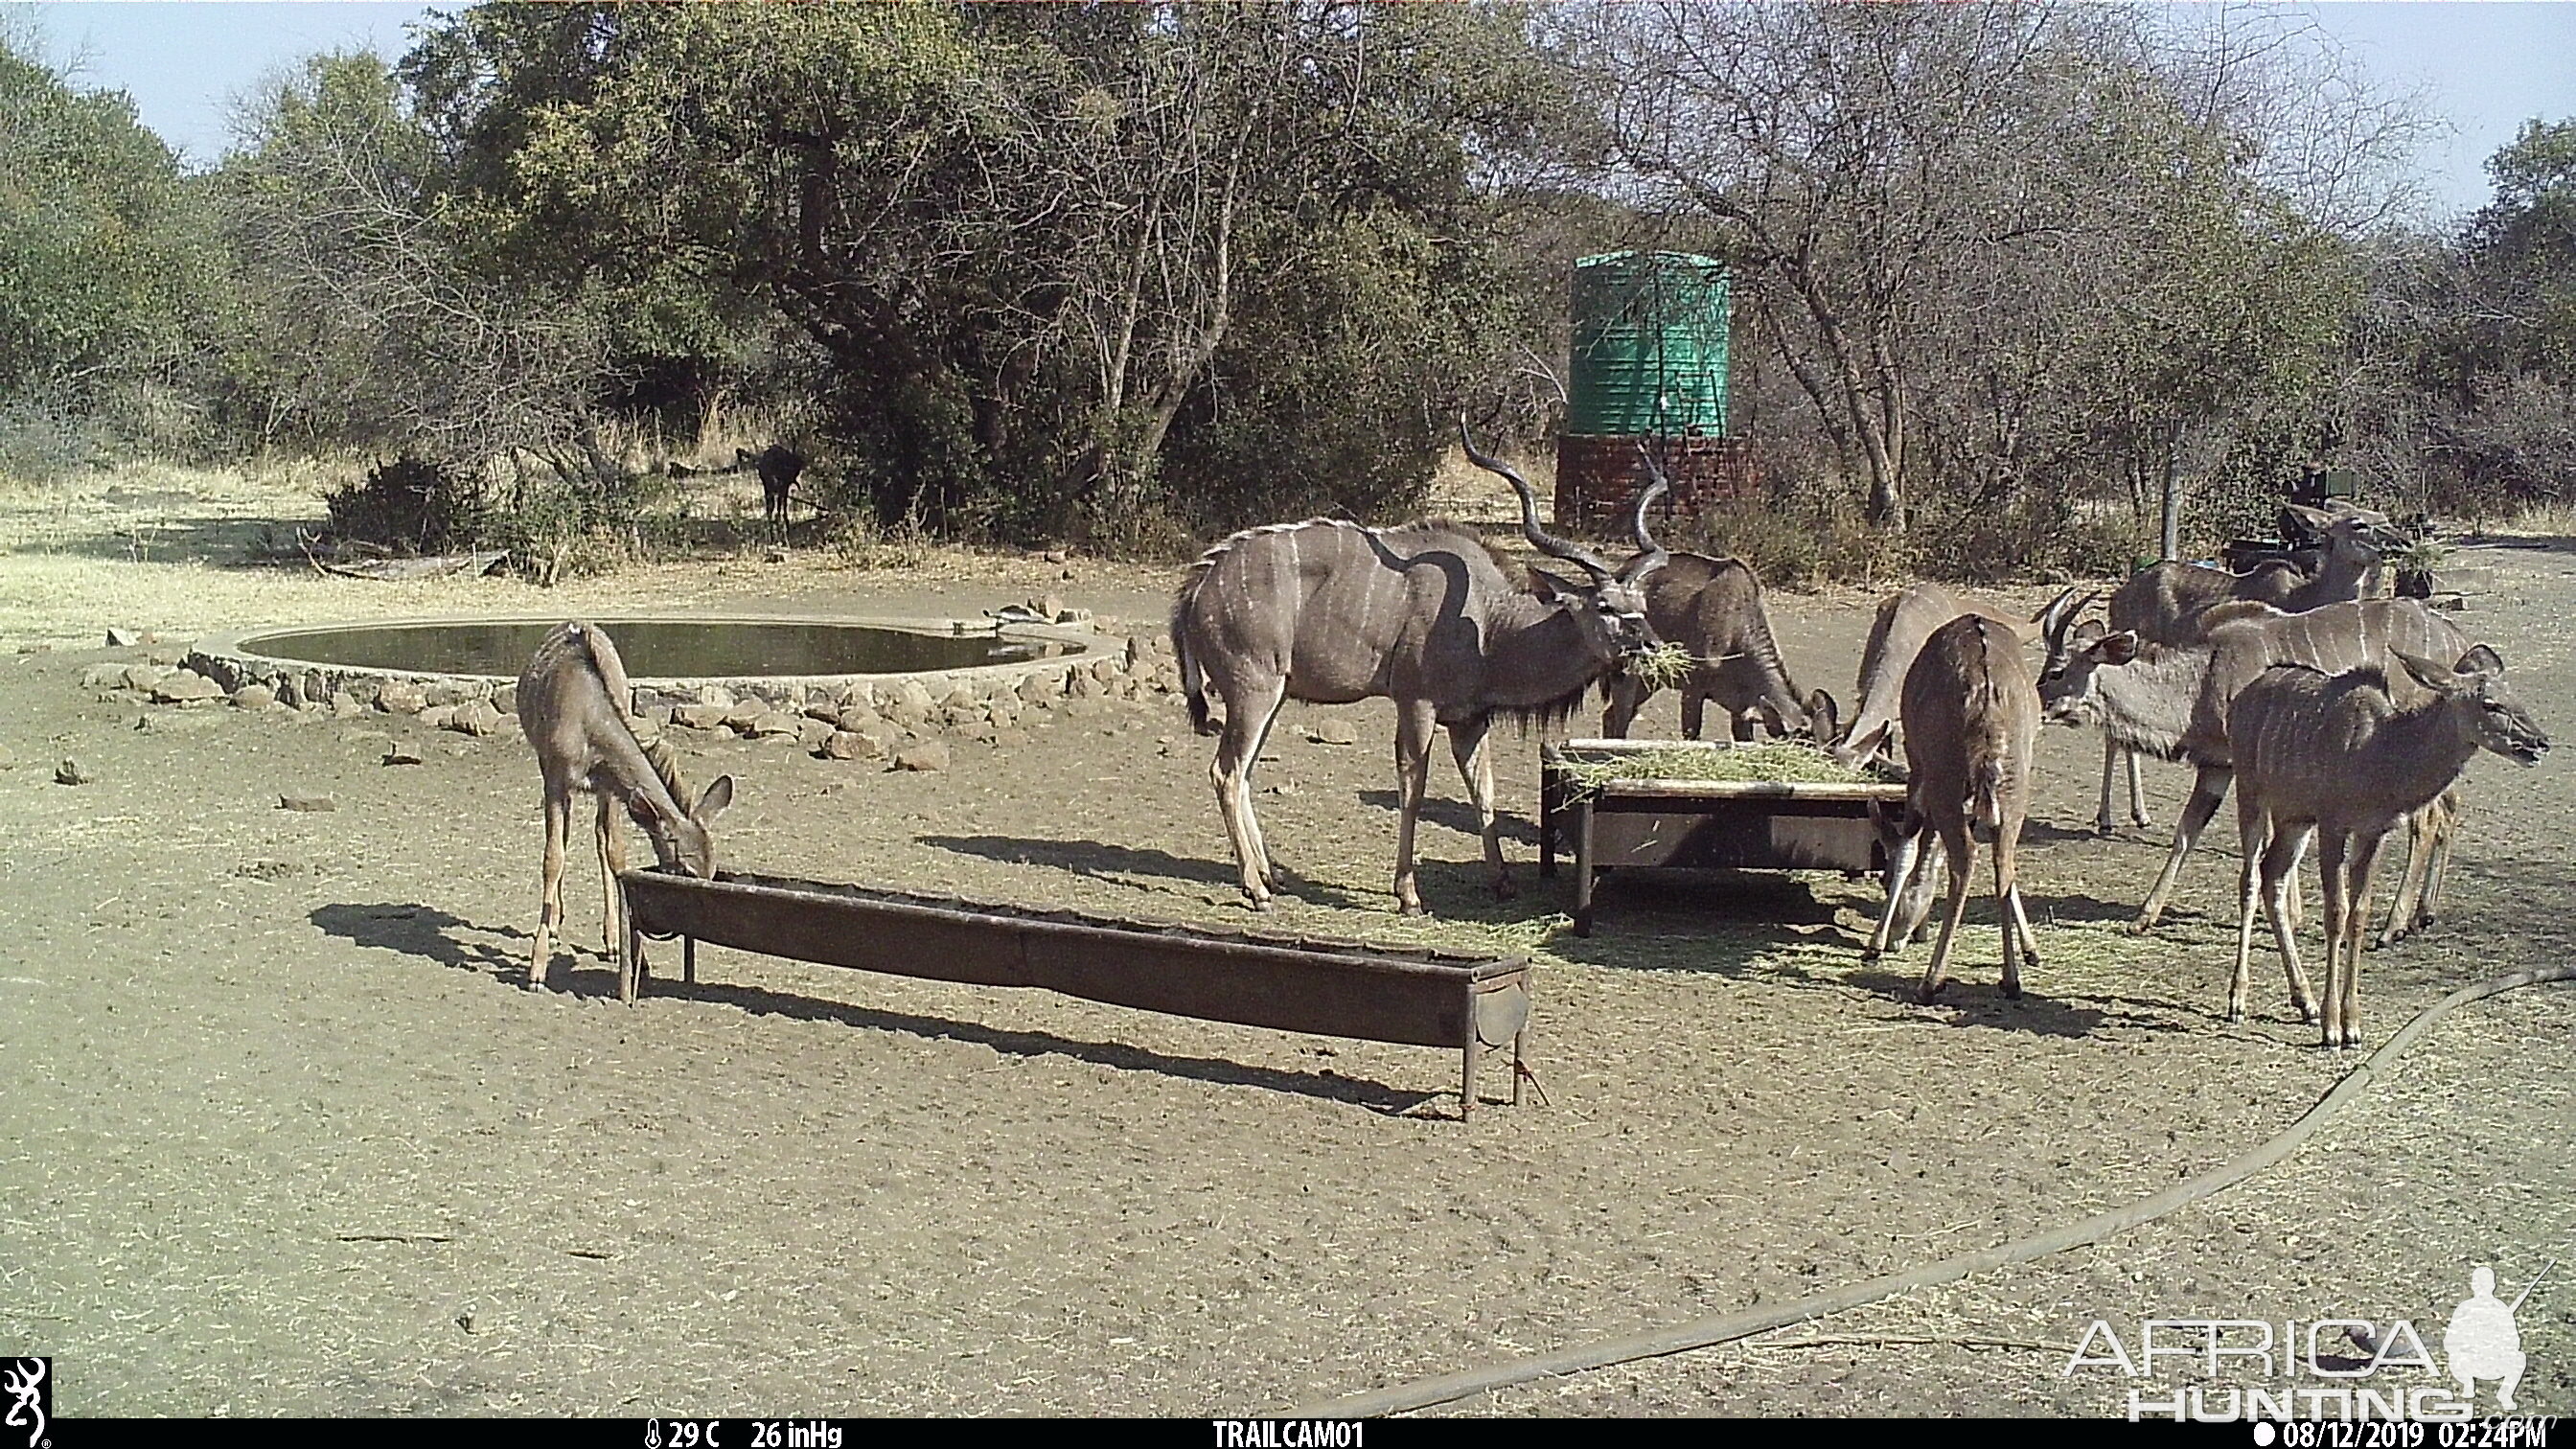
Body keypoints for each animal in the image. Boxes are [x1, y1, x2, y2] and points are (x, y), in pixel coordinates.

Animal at [515, 613, 736, 984]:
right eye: (687, 869)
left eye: (713, 870)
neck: (589, 727)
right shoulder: (556, 777)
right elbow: (552, 858)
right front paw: (537, 969)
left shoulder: (610, 785)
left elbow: (616, 855)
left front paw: (636, 959)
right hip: (548, 768)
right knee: (564, 837)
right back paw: (557, 925)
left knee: (597, 836)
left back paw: (609, 942)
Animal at [1174, 420, 1668, 912]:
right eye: (1604, 606)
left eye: (1642, 606)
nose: (1652, 646)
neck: (1488, 622)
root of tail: (1198, 587)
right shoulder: (1416, 704)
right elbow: (1413, 791)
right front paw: (1408, 893)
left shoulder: (1470, 720)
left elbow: (1484, 793)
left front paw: (1502, 882)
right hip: (1253, 692)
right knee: (1226, 772)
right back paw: (1256, 889)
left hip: (1273, 695)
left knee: (1244, 773)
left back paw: (1269, 877)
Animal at [2225, 649, 2544, 1041]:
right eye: (2490, 703)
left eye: (2516, 697)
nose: (2539, 743)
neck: (2378, 755)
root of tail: (2241, 699)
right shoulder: (2333, 825)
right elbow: (2336, 914)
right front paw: (2332, 1029)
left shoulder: (2372, 832)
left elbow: (2359, 914)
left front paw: (2352, 1025)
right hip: (2251, 792)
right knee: (2251, 879)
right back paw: (2238, 1001)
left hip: (2294, 817)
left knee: (2274, 875)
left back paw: (2305, 1002)